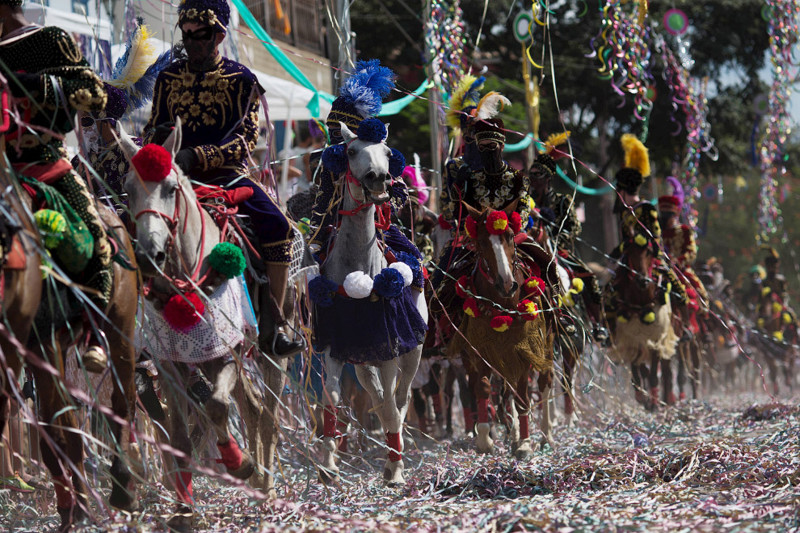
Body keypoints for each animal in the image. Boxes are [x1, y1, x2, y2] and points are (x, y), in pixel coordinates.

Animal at [312, 121, 428, 486]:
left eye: (388, 152)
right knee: (377, 395)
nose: (378, 177)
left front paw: (396, 470)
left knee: (399, 400)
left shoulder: (390, 348)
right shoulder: (336, 346)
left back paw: (395, 455)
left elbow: (391, 404)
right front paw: (328, 466)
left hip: (413, 352)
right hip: (363, 362)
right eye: (350, 151)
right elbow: (332, 399)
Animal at [608, 232, 680, 408]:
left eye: (649, 252)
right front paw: (641, 396)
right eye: (629, 252)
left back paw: (667, 398)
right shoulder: (632, 339)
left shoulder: (656, 339)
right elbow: (637, 369)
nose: (642, 280)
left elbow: (654, 372)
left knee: (666, 370)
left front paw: (653, 401)